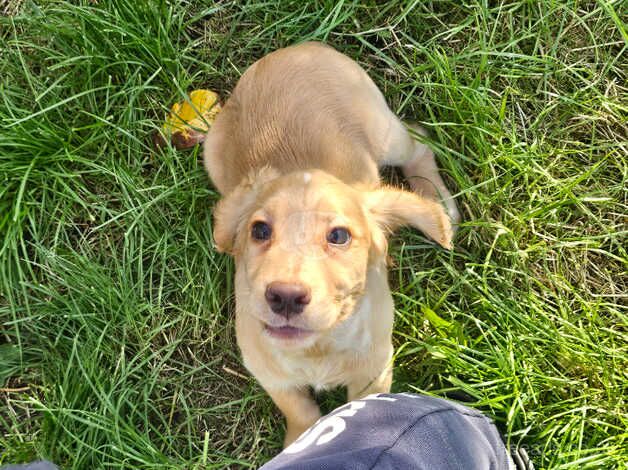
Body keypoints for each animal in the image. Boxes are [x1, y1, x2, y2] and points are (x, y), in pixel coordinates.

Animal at [205, 41, 456, 448]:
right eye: (259, 230)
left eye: (339, 236)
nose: (285, 297)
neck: (317, 347)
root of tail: (297, 49)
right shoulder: (267, 369)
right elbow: (300, 410)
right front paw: (300, 441)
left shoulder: (375, 366)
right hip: (211, 151)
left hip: (384, 131)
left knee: (419, 142)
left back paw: (440, 203)